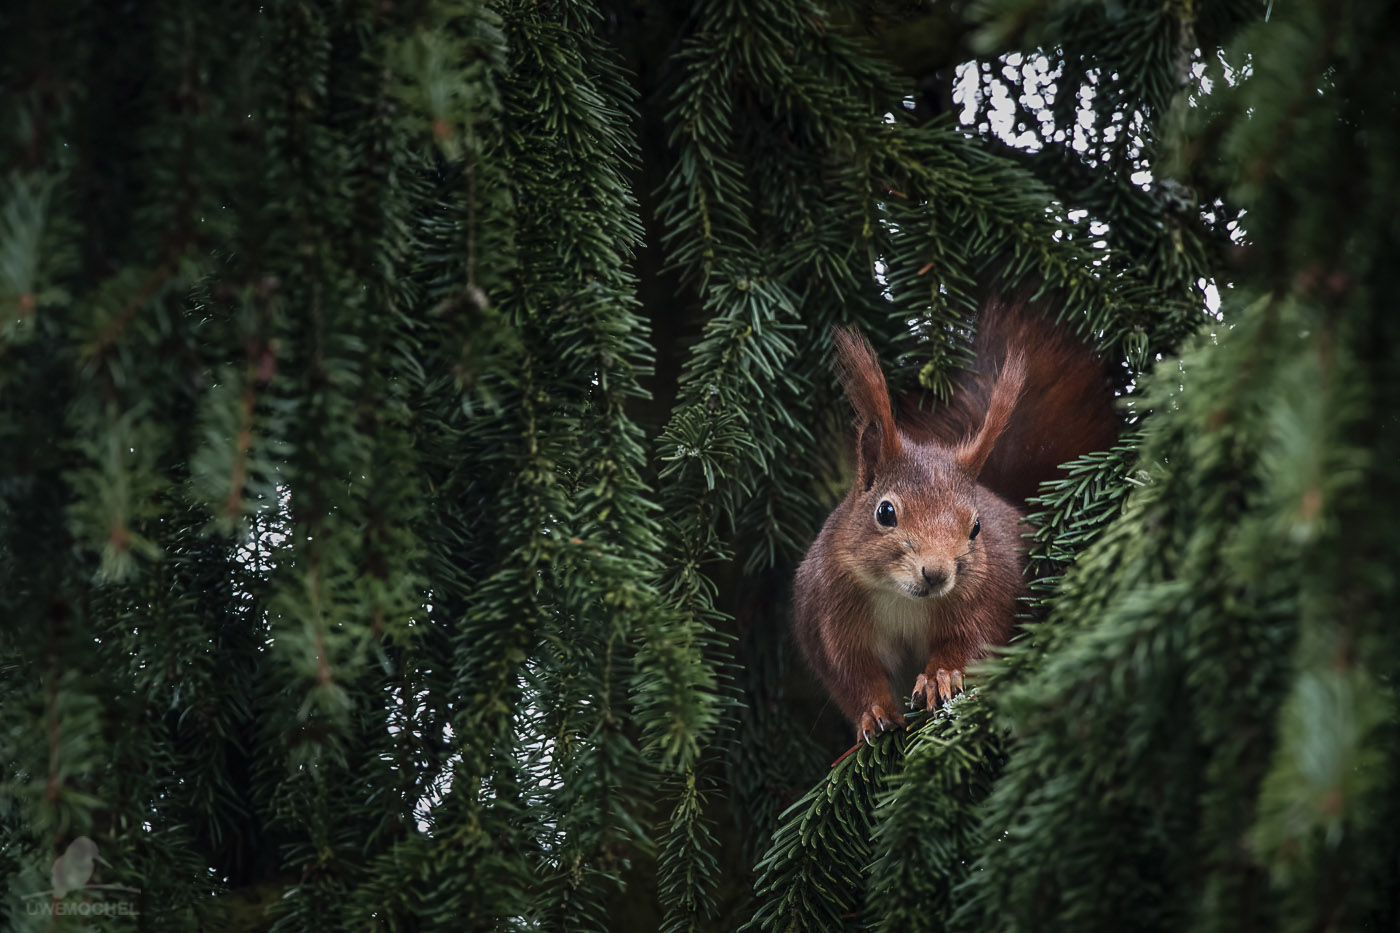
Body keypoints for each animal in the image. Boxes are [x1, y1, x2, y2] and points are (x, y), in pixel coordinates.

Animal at [800, 294, 1114, 745]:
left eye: (976, 528)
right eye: (885, 512)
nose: (936, 573)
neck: (901, 598)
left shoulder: (984, 599)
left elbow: (969, 645)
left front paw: (938, 677)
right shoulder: (830, 617)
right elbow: (854, 676)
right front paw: (873, 713)